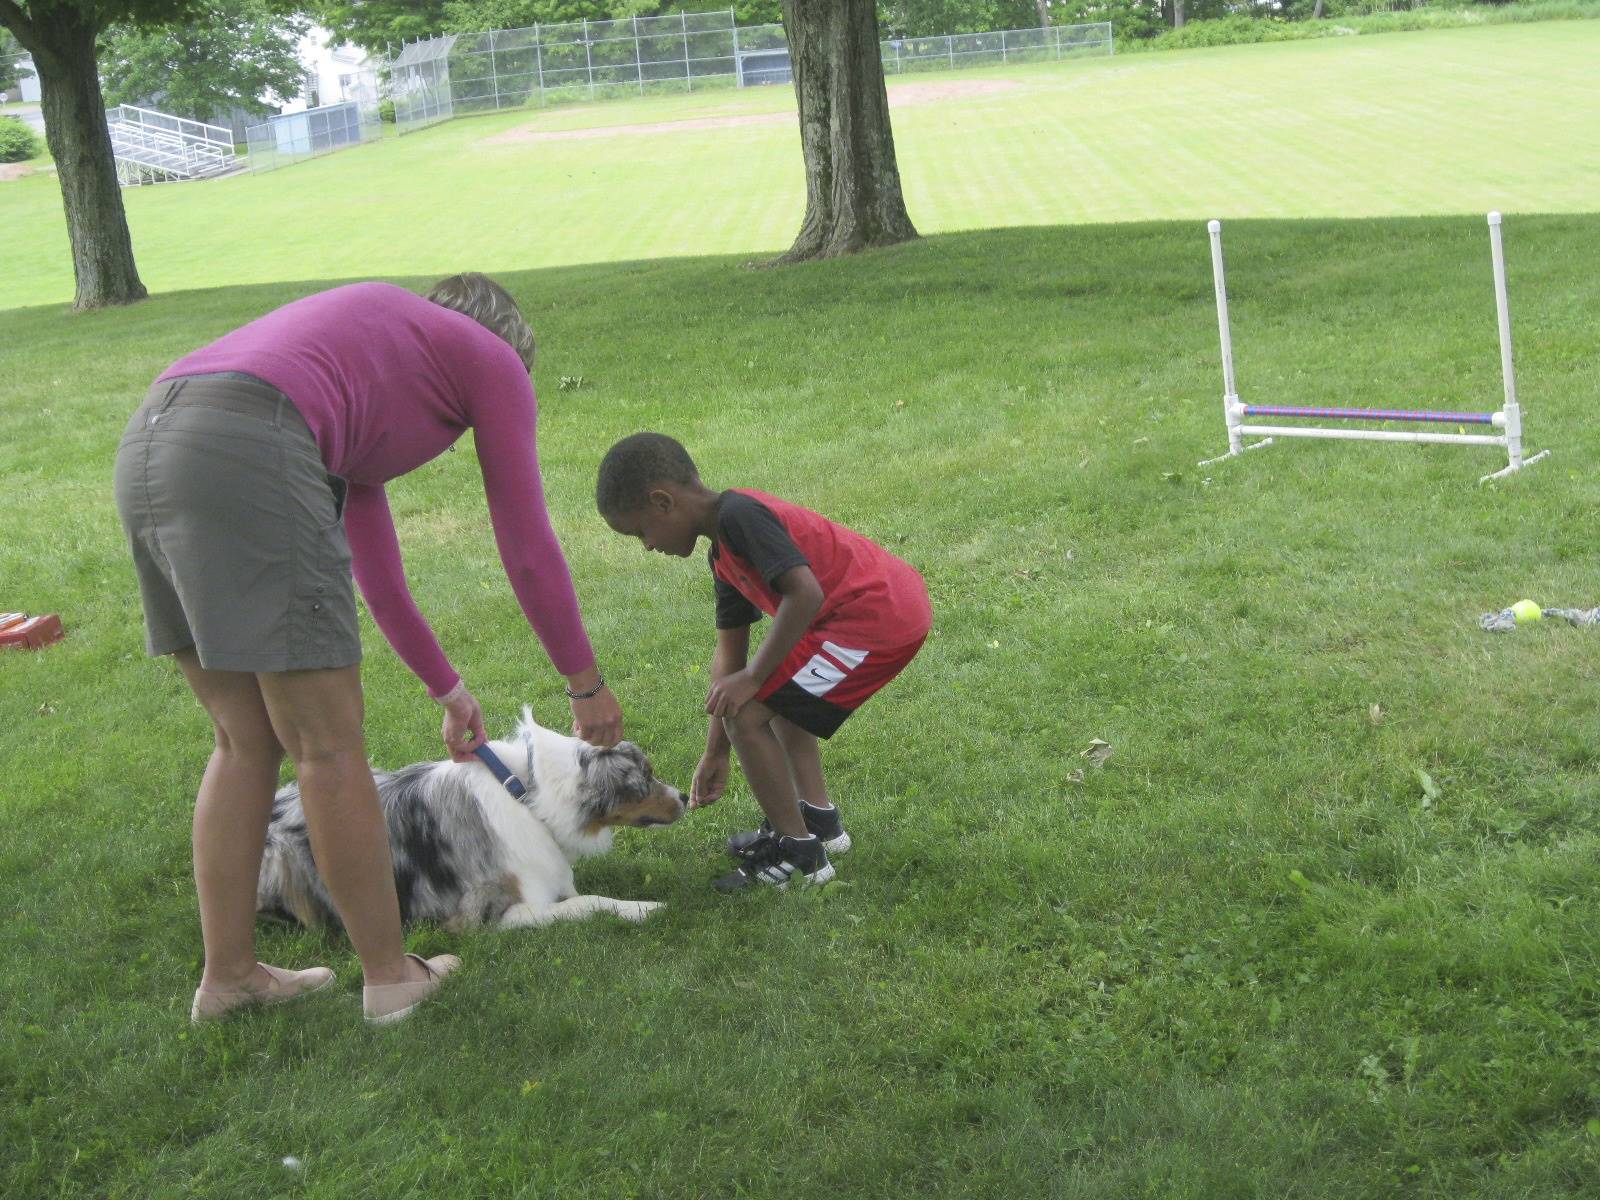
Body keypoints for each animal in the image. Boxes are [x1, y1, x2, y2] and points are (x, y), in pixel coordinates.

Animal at [254, 710, 681, 934]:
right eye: (646, 778)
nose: (683, 798)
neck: (527, 796)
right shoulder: (492, 915)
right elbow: (588, 902)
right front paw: (645, 907)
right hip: (280, 858)